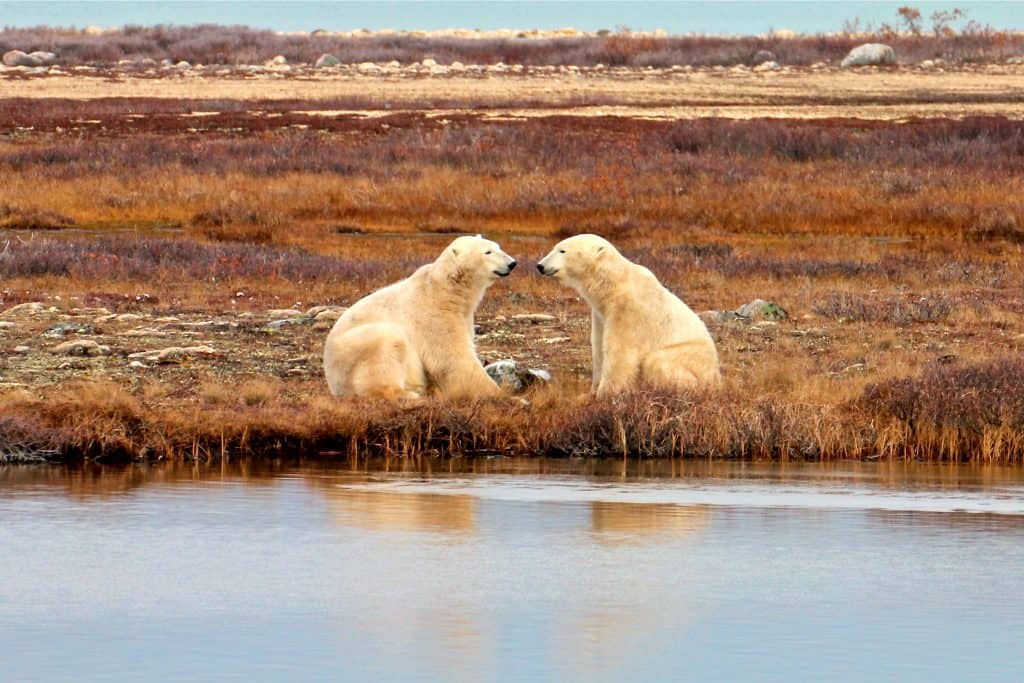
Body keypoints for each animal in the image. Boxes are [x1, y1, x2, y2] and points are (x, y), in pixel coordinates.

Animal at [323, 237, 516, 403]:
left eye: (498, 246)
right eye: (488, 251)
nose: (512, 263)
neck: (445, 289)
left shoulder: (462, 315)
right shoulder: (433, 314)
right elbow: (453, 358)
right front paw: (505, 396)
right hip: (353, 351)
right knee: (387, 345)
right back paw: (409, 394)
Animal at [536, 235, 720, 395]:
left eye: (562, 250)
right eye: (555, 247)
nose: (540, 266)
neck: (613, 283)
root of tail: (716, 379)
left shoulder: (627, 309)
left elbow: (620, 350)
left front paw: (606, 393)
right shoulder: (600, 313)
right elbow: (598, 348)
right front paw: (591, 392)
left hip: (692, 359)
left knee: (658, 361)